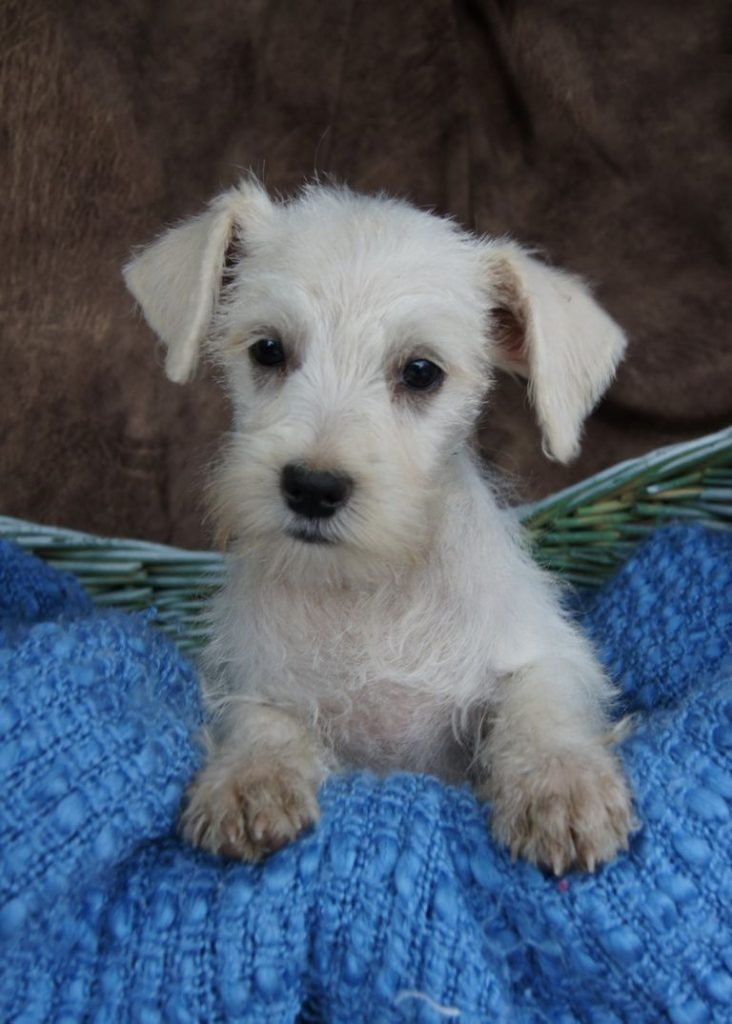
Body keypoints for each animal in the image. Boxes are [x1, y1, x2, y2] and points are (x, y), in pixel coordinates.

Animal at [125, 176, 634, 872]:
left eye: (421, 372)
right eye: (267, 350)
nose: (313, 488)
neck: (367, 595)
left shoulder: (546, 654)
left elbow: (541, 704)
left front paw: (561, 785)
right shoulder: (248, 679)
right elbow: (263, 720)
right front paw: (250, 780)